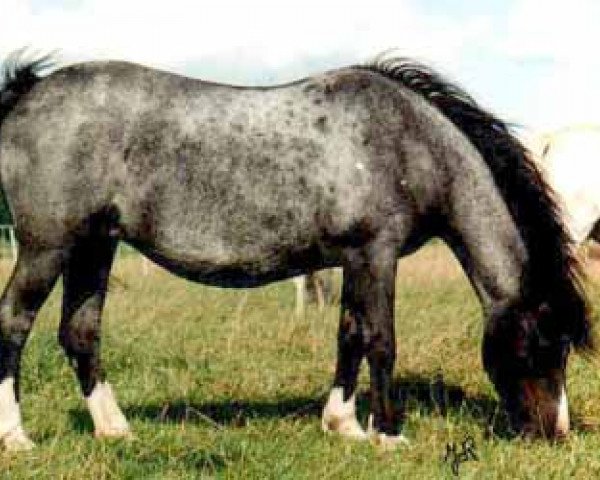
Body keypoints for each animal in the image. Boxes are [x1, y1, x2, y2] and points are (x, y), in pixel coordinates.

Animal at [0, 51, 592, 450]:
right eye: (546, 342)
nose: (554, 432)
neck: (407, 142)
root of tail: (28, 91)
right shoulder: (376, 254)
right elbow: (382, 341)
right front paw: (389, 435)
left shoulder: (354, 260)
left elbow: (350, 335)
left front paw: (344, 424)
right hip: (47, 247)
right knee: (14, 323)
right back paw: (17, 438)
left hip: (94, 247)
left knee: (80, 332)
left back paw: (114, 428)